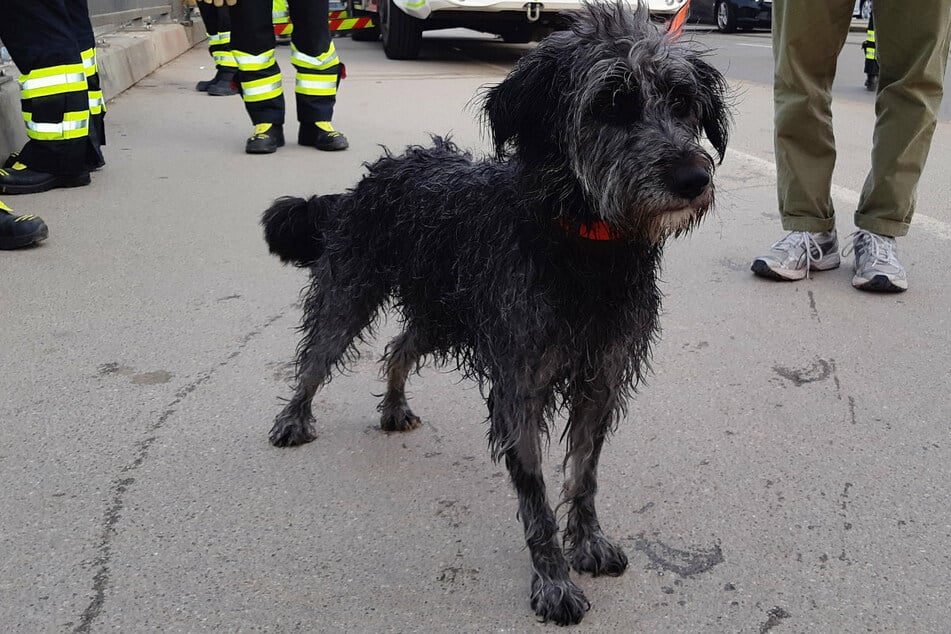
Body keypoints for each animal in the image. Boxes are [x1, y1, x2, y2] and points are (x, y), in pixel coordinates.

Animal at [260, 0, 728, 624]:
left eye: (682, 102)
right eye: (611, 103)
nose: (693, 179)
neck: (582, 245)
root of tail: (374, 176)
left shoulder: (600, 375)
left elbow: (584, 473)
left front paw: (588, 543)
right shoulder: (519, 381)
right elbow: (535, 495)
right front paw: (553, 581)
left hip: (440, 314)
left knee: (399, 346)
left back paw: (393, 406)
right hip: (352, 291)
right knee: (317, 355)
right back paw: (293, 418)